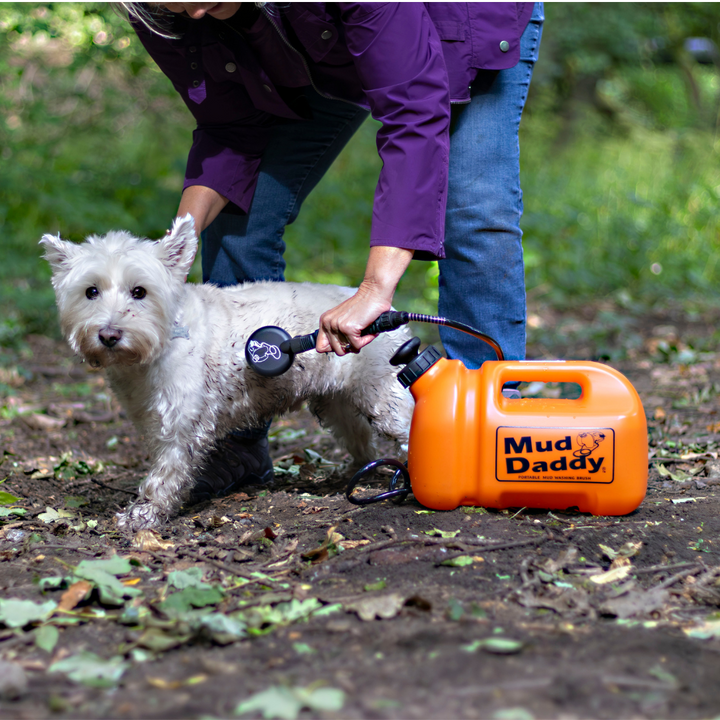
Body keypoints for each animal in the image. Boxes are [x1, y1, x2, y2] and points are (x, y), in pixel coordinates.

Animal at [40, 214, 410, 528]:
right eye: (91, 291)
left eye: (139, 291)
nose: (108, 335)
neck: (163, 339)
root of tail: (384, 311)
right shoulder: (152, 418)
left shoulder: (181, 423)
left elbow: (167, 470)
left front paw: (146, 513)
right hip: (336, 403)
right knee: (361, 440)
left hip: (382, 396)